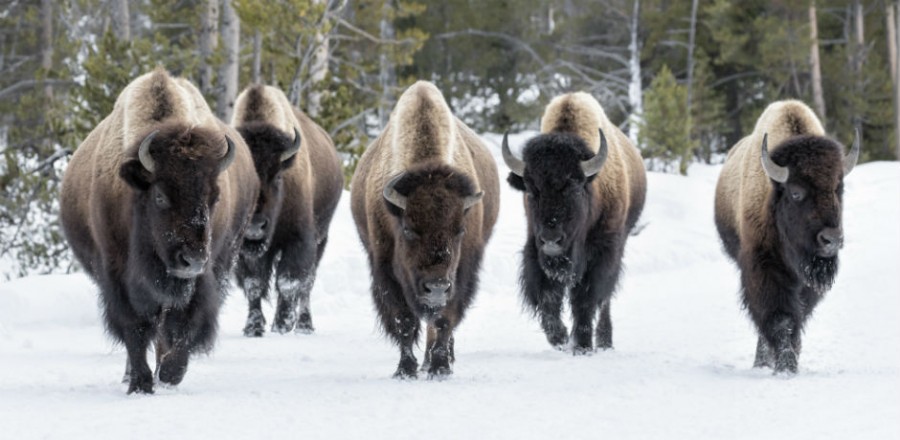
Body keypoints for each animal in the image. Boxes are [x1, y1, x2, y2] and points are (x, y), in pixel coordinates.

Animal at [59, 68, 259, 393]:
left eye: (214, 197)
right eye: (161, 197)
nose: (192, 260)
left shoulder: (202, 279)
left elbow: (184, 325)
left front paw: (169, 373)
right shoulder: (116, 276)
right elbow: (135, 329)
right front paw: (140, 383)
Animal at [231, 85, 343, 336]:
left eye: (277, 176)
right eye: (244, 179)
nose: (255, 226)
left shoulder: (299, 240)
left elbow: (289, 282)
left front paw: (281, 324)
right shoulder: (244, 250)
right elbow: (253, 284)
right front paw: (253, 327)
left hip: (321, 238)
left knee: (307, 284)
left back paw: (303, 325)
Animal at [350, 81, 499, 378]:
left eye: (460, 230)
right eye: (408, 229)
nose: (437, 287)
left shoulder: (460, 274)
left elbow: (444, 321)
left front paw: (440, 367)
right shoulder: (386, 271)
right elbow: (404, 320)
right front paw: (405, 370)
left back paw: (436, 360)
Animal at [503, 92, 646, 353]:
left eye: (574, 186)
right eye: (531, 189)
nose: (552, 239)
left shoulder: (602, 254)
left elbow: (586, 301)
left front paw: (581, 345)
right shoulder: (535, 251)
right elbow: (548, 298)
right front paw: (560, 338)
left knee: (604, 301)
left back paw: (604, 341)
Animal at [714, 100, 859, 373]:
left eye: (839, 189)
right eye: (796, 192)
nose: (832, 240)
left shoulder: (808, 283)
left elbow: (798, 316)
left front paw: (791, 358)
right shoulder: (763, 268)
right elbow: (781, 318)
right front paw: (785, 365)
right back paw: (762, 362)